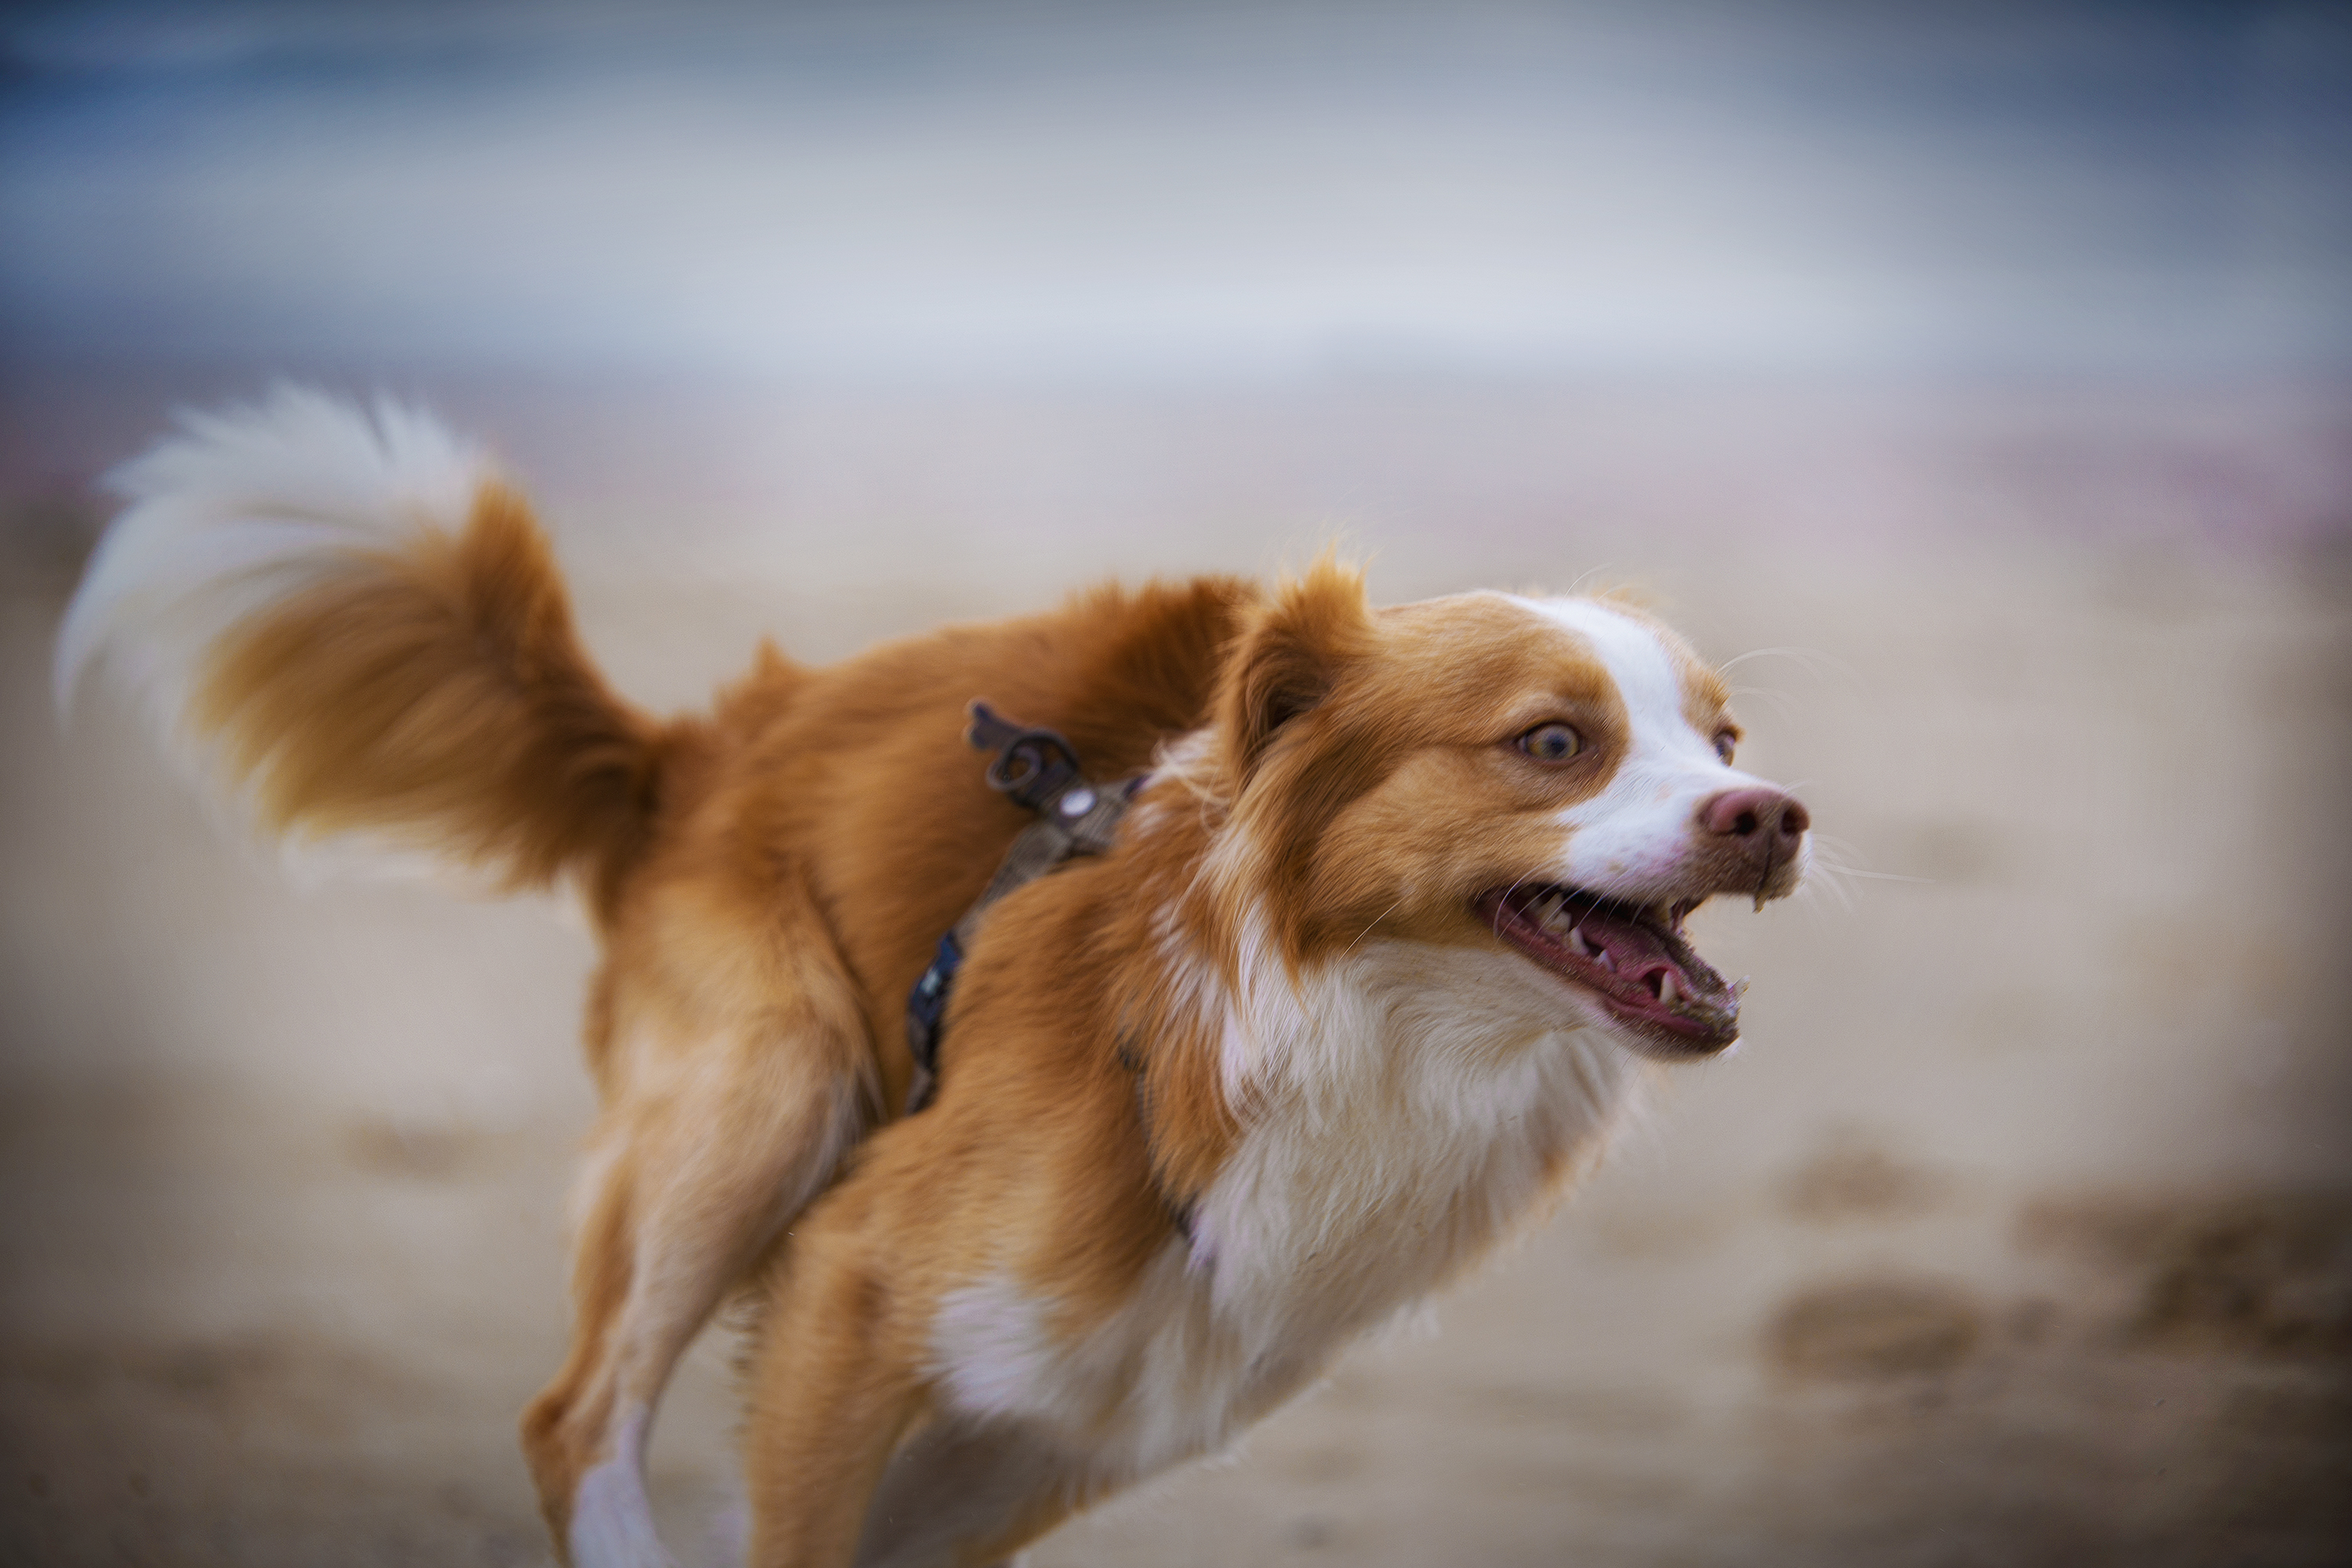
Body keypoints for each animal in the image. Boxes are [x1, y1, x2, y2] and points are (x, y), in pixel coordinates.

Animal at [60, 390, 1816, 1568]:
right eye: (1553, 743)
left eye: (1723, 737)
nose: (1773, 814)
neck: (1326, 1026)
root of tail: (682, 755)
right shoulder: (854, 1286)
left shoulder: (1072, 1416)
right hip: (768, 1092)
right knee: (575, 1421)